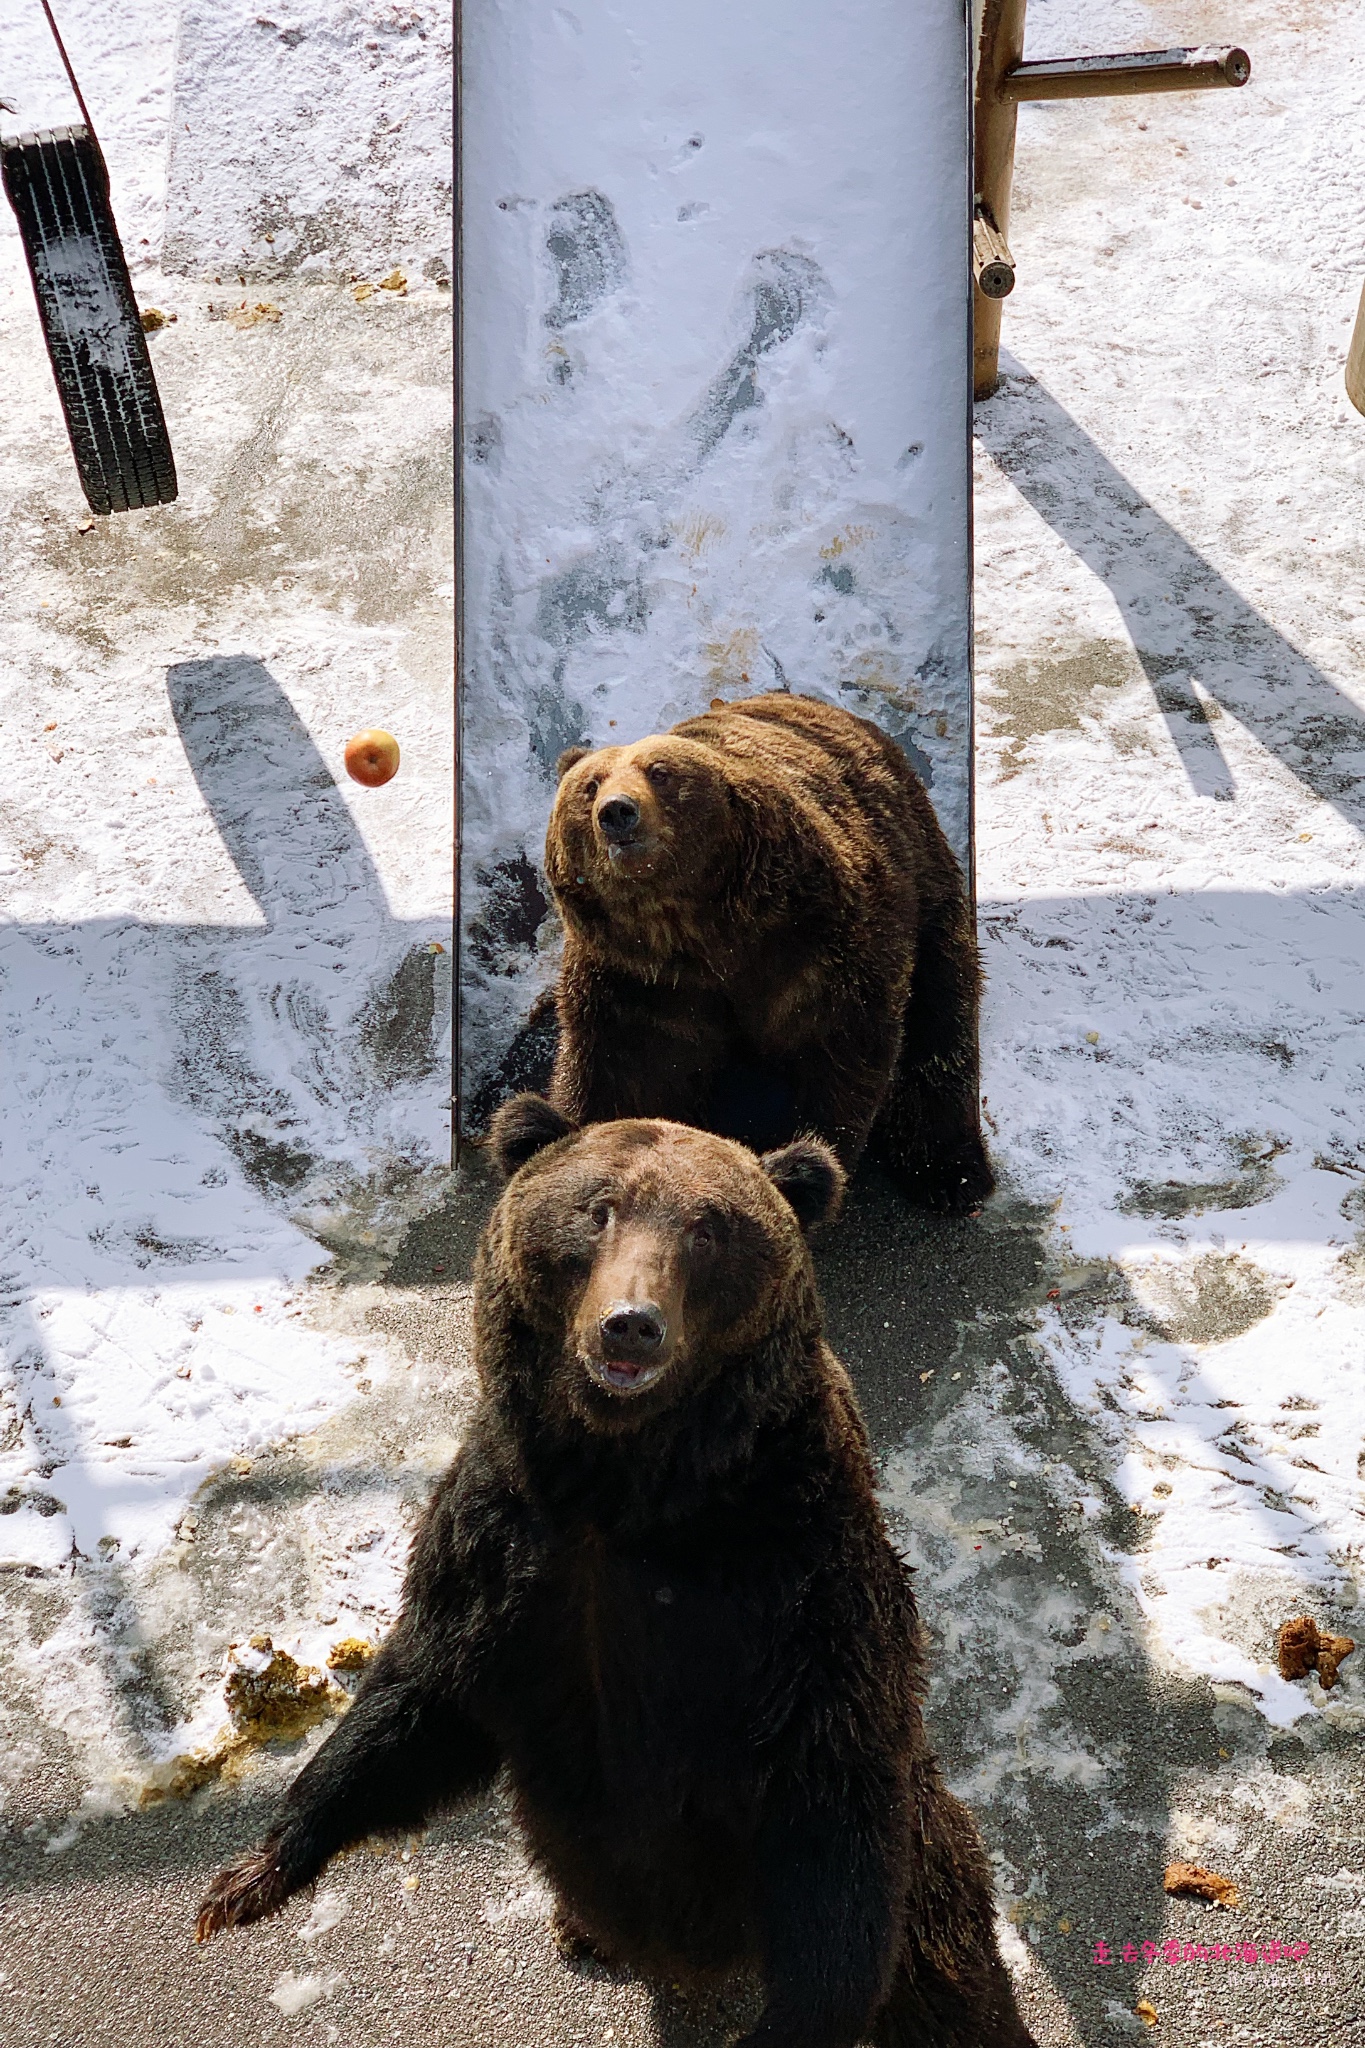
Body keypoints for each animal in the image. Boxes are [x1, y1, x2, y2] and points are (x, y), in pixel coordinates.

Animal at [197, 1105, 1035, 2048]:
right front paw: (248, 1878)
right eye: (596, 1210)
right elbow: (418, 1700)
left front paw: (790, 2023)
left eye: (709, 1227)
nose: (630, 1324)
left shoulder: (794, 1588)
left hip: (926, 1869)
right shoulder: (504, 1547)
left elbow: (832, 1800)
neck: (626, 1486)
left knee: (939, 1959)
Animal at [544, 688, 994, 1204]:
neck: (698, 934)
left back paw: (951, 1171)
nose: (617, 812)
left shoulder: (816, 952)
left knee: (941, 1016)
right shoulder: (634, 983)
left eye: (660, 772)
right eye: (589, 786)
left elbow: (837, 1060)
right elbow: (617, 1076)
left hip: (925, 885)